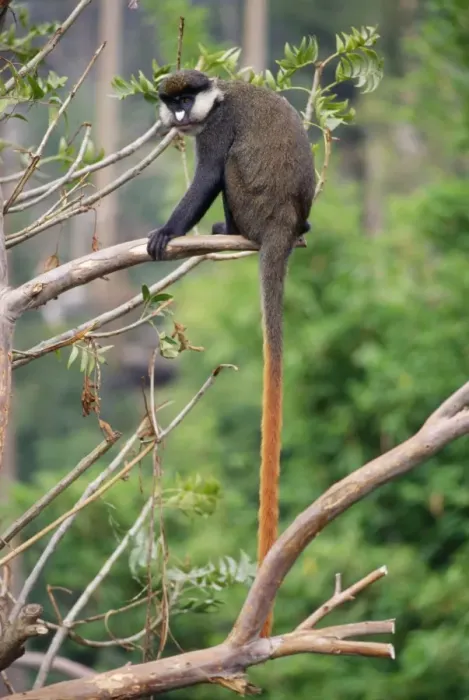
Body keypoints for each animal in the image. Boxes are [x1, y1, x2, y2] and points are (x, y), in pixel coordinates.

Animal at [147, 70, 315, 636]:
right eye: (171, 100)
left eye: (185, 98)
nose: (178, 115)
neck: (219, 95)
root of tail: (283, 223)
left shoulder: (216, 127)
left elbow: (208, 175)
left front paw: (168, 230)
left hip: (246, 202)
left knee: (226, 176)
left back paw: (229, 230)